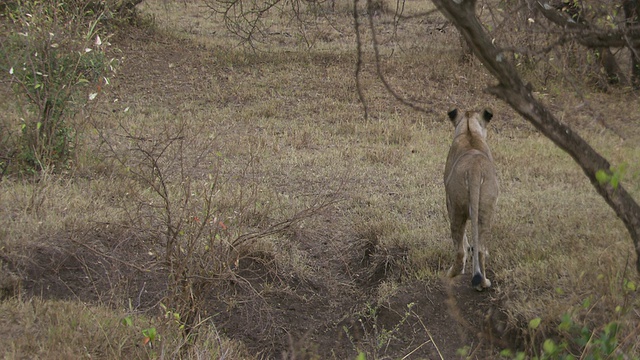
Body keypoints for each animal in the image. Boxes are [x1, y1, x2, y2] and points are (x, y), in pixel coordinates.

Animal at [442, 108, 498, 292]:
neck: (469, 132)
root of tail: (474, 169)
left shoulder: (448, 201)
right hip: (487, 208)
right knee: (480, 249)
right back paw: (483, 283)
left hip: (456, 207)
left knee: (460, 251)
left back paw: (450, 274)